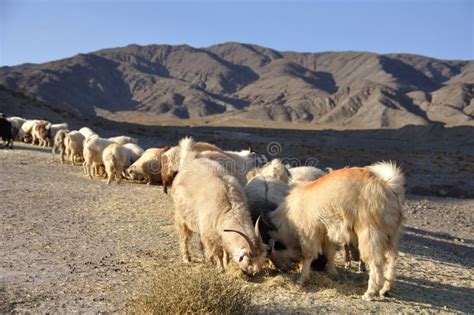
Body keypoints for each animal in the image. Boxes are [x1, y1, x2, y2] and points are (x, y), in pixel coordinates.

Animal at [171, 137, 268, 276]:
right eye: (248, 259)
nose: (254, 273)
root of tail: (192, 158)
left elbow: (226, 250)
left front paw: (226, 263)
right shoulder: (211, 235)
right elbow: (218, 252)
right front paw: (220, 268)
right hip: (181, 215)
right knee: (184, 237)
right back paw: (187, 258)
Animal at [266, 163, 404, 302]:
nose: (283, 270)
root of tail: (388, 187)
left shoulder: (310, 235)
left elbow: (308, 256)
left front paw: (302, 279)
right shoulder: (327, 233)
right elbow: (330, 253)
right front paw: (332, 272)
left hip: (371, 235)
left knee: (376, 263)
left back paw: (370, 293)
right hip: (391, 236)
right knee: (392, 260)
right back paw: (386, 289)